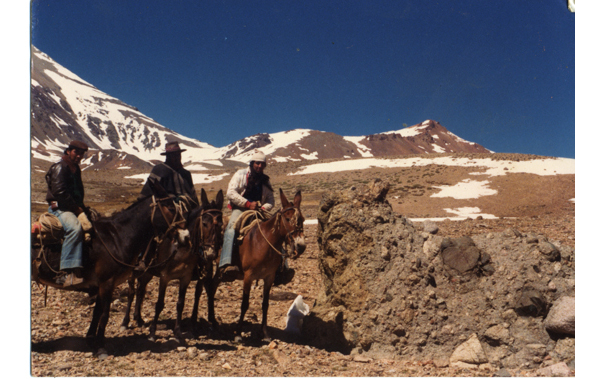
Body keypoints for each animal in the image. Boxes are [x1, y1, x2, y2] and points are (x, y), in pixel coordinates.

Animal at [29, 180, 185, 360]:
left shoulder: (101, 285)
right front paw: (100, 347)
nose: (185, 236)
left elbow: (97, 313)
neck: (116, 238)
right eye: (171, 208)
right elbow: (104, 315)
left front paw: (91, 340)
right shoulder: (107, 283)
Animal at [118, 190, 224, 344]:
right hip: (133, 272)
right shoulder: (165, 277)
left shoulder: (186, 277)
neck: (180, 248)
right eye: (204, 223)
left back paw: (139, 319)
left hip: (147, 273)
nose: (210, 254)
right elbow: (159, 304)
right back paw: (125, 322)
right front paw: (152, 332)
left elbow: (181, 303)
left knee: (141, 290)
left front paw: (178, 332)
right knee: (132, 293)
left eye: (221, 225)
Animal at [210, 190, 308, 342]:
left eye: (302, 219)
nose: (301, 246)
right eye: (287, 219)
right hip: (218, 268)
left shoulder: (269, 278)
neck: (262, 243)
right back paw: (213, 321)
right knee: (212, 289)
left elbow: (265, 305)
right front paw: (238, 334)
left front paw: (265, 334)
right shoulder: (248, 277)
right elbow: (244, 304)